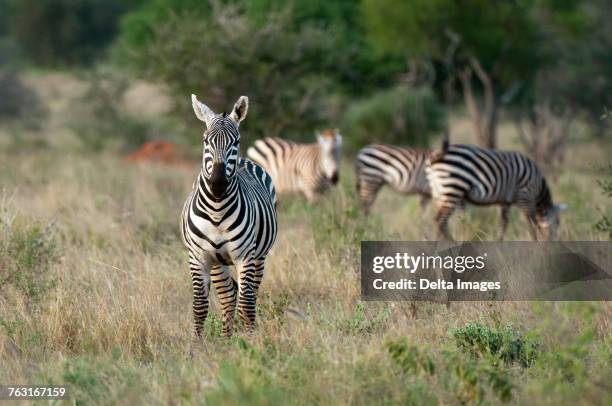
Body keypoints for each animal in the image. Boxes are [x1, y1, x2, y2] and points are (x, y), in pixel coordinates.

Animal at [180, 93, 278, 338]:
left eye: (236, 142)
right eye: (205, 141)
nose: (217, 184)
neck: (217, 210)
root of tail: (245, 161)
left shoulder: (245, 256)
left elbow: (247, 305)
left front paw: (250, 343)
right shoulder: (198, 257)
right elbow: (200, 306)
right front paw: (196, 346)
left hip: (259, 257)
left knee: (248, 294)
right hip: (218, 261)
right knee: (228, 296)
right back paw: (226, 338)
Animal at [428, 140, 568, 241]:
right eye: (558, 223)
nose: (554, 244)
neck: (538, 186)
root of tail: (436, 155)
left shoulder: (505, 201)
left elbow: (502, 224)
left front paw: (499, 245)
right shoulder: (525, 195)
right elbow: (532, 225)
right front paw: (536, 246)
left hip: (440, 193)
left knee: (441, 223)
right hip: (453, 188)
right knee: (438, 221)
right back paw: (449, 243)